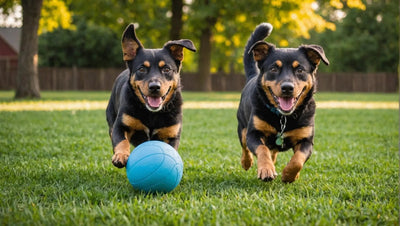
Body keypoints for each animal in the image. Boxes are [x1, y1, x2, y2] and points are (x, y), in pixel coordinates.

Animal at [105, 23, 195, 168]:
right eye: (142, 69)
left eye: (166, 69)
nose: (154, 87)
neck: (152, 114)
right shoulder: (120, 125)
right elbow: (121, 141)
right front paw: (121, 156)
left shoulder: (172, 134)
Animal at [238, 22, 328, 182]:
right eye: (274, 68)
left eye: (300, 70)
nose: (287, 87)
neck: (283, 117)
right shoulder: (254, 133)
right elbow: (262, 149)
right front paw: (266, 169)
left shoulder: (306, 140)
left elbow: (298, 159)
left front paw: (289, 175)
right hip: (242, 126)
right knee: (245, 146)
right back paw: (247, 162)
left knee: (273, 151)